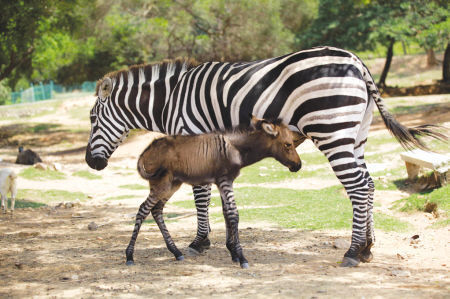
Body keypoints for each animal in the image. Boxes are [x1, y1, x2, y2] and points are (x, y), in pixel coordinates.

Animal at [125, 116, 302, 268]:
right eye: (288, 144)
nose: (298, 166)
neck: (235, 149)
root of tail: (147, 149)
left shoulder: (224, 182)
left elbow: (227, 213)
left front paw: (234, 253)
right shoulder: (224, 180)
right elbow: (233, 214)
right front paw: (241, 257)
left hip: (172, 185)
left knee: (156, 210)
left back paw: (176, 252)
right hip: (162, 185)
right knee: (143, 210)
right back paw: (129, 256)